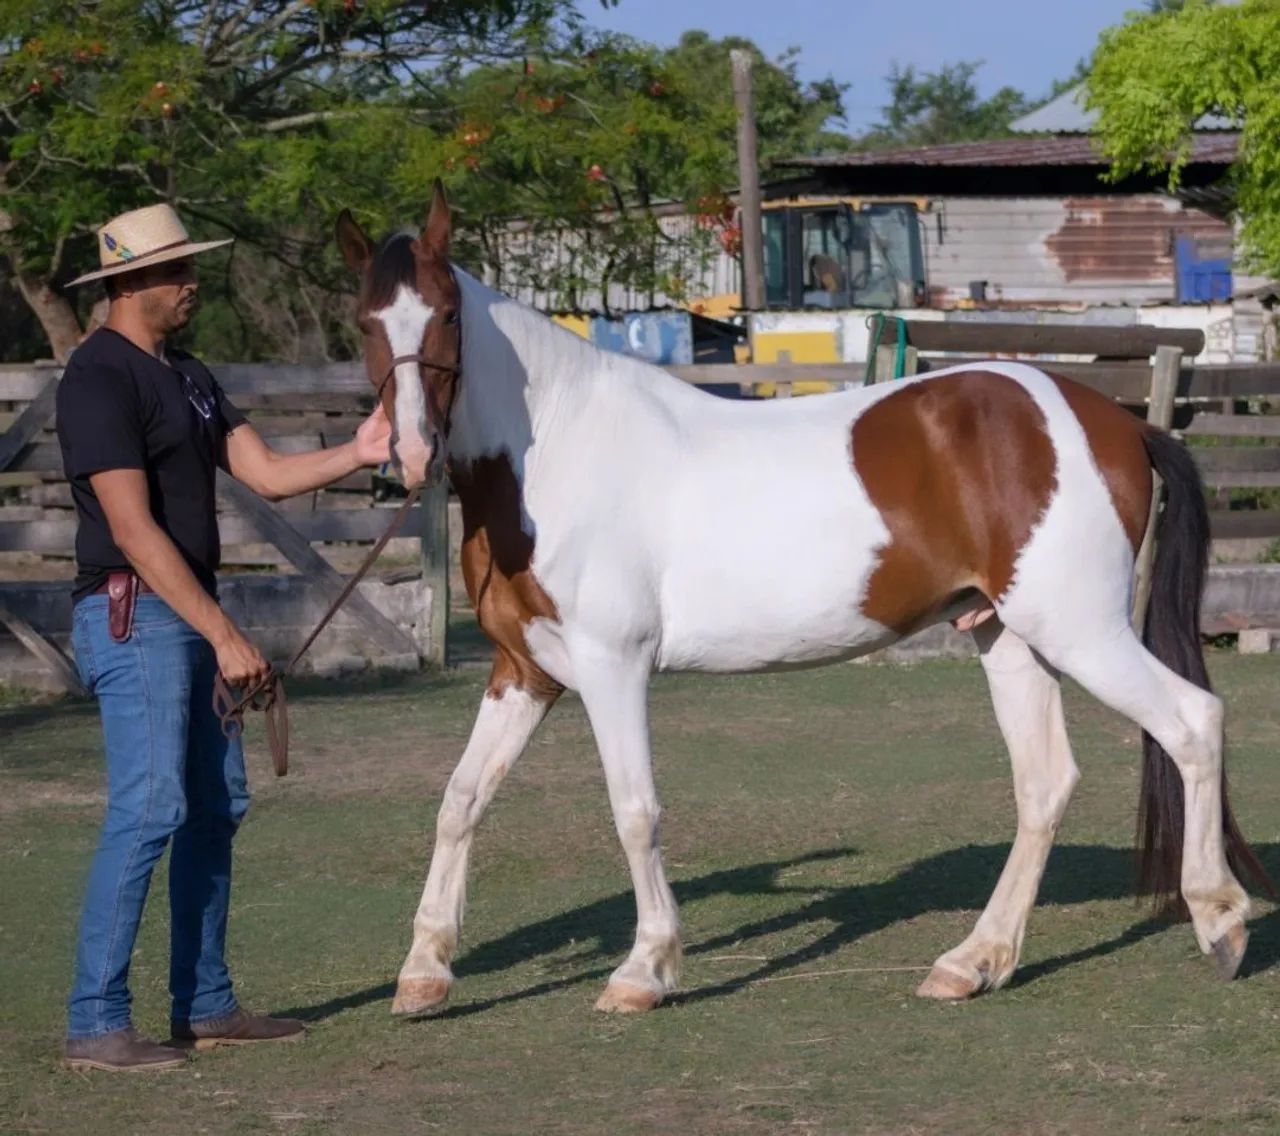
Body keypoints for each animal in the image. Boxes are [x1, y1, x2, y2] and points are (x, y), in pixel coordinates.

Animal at [334, 184, 1268, 1017]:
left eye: (447, 316)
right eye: (366, 324)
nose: (408, 453)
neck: (555, 449)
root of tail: (1115, 420)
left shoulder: (612, 668)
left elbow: (634, 812)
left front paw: (643, 971)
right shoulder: (524, 671)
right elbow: (460, 800)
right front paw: (424, 972)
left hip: (1080, 630)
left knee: (1192, 722)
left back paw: (1220, 922)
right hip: (1008, 636)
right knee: (1044, 783)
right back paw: (973, 962)